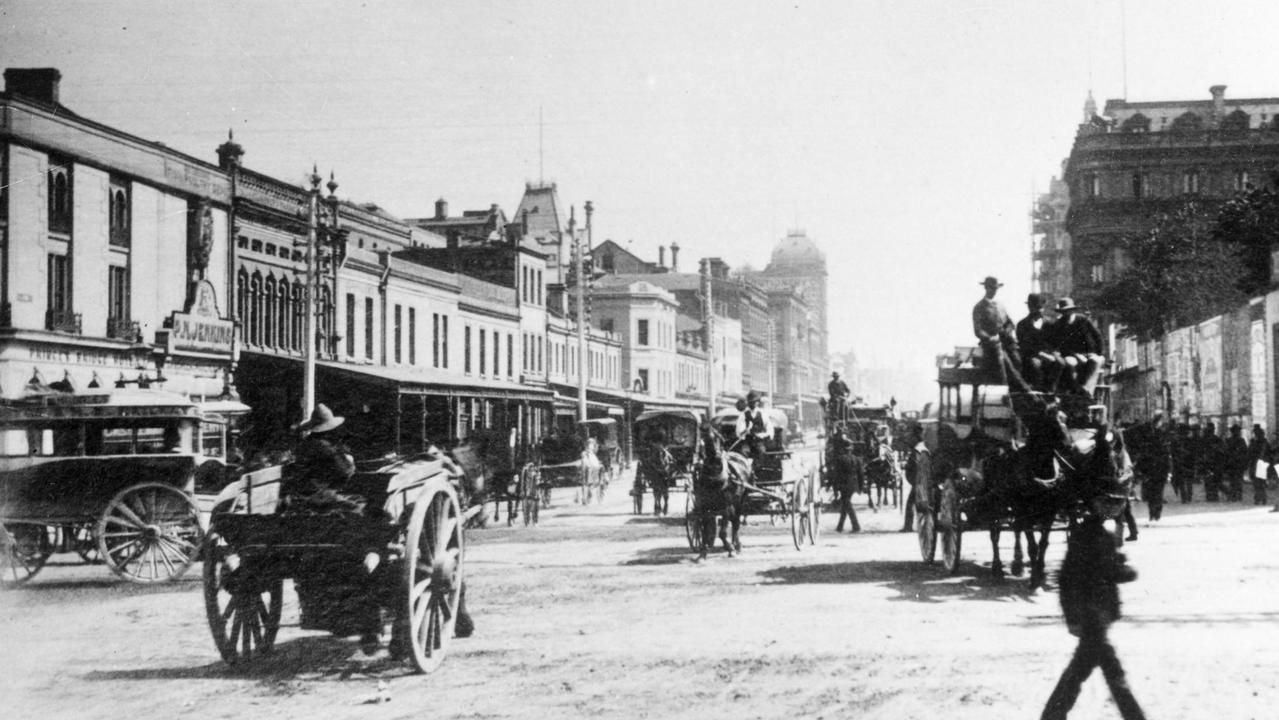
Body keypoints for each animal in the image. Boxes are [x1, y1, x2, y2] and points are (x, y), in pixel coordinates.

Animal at [700, 424, 746, 560]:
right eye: (706, 439)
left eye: (720, 438)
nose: (717, 457)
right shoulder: (705, 506)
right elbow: (706, 532)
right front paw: (702, 553)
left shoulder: (726, 506)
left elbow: (722, 533)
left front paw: (730, 549)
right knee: (734, 520)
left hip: (740, 500)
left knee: (736, 522)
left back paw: (736, 546)